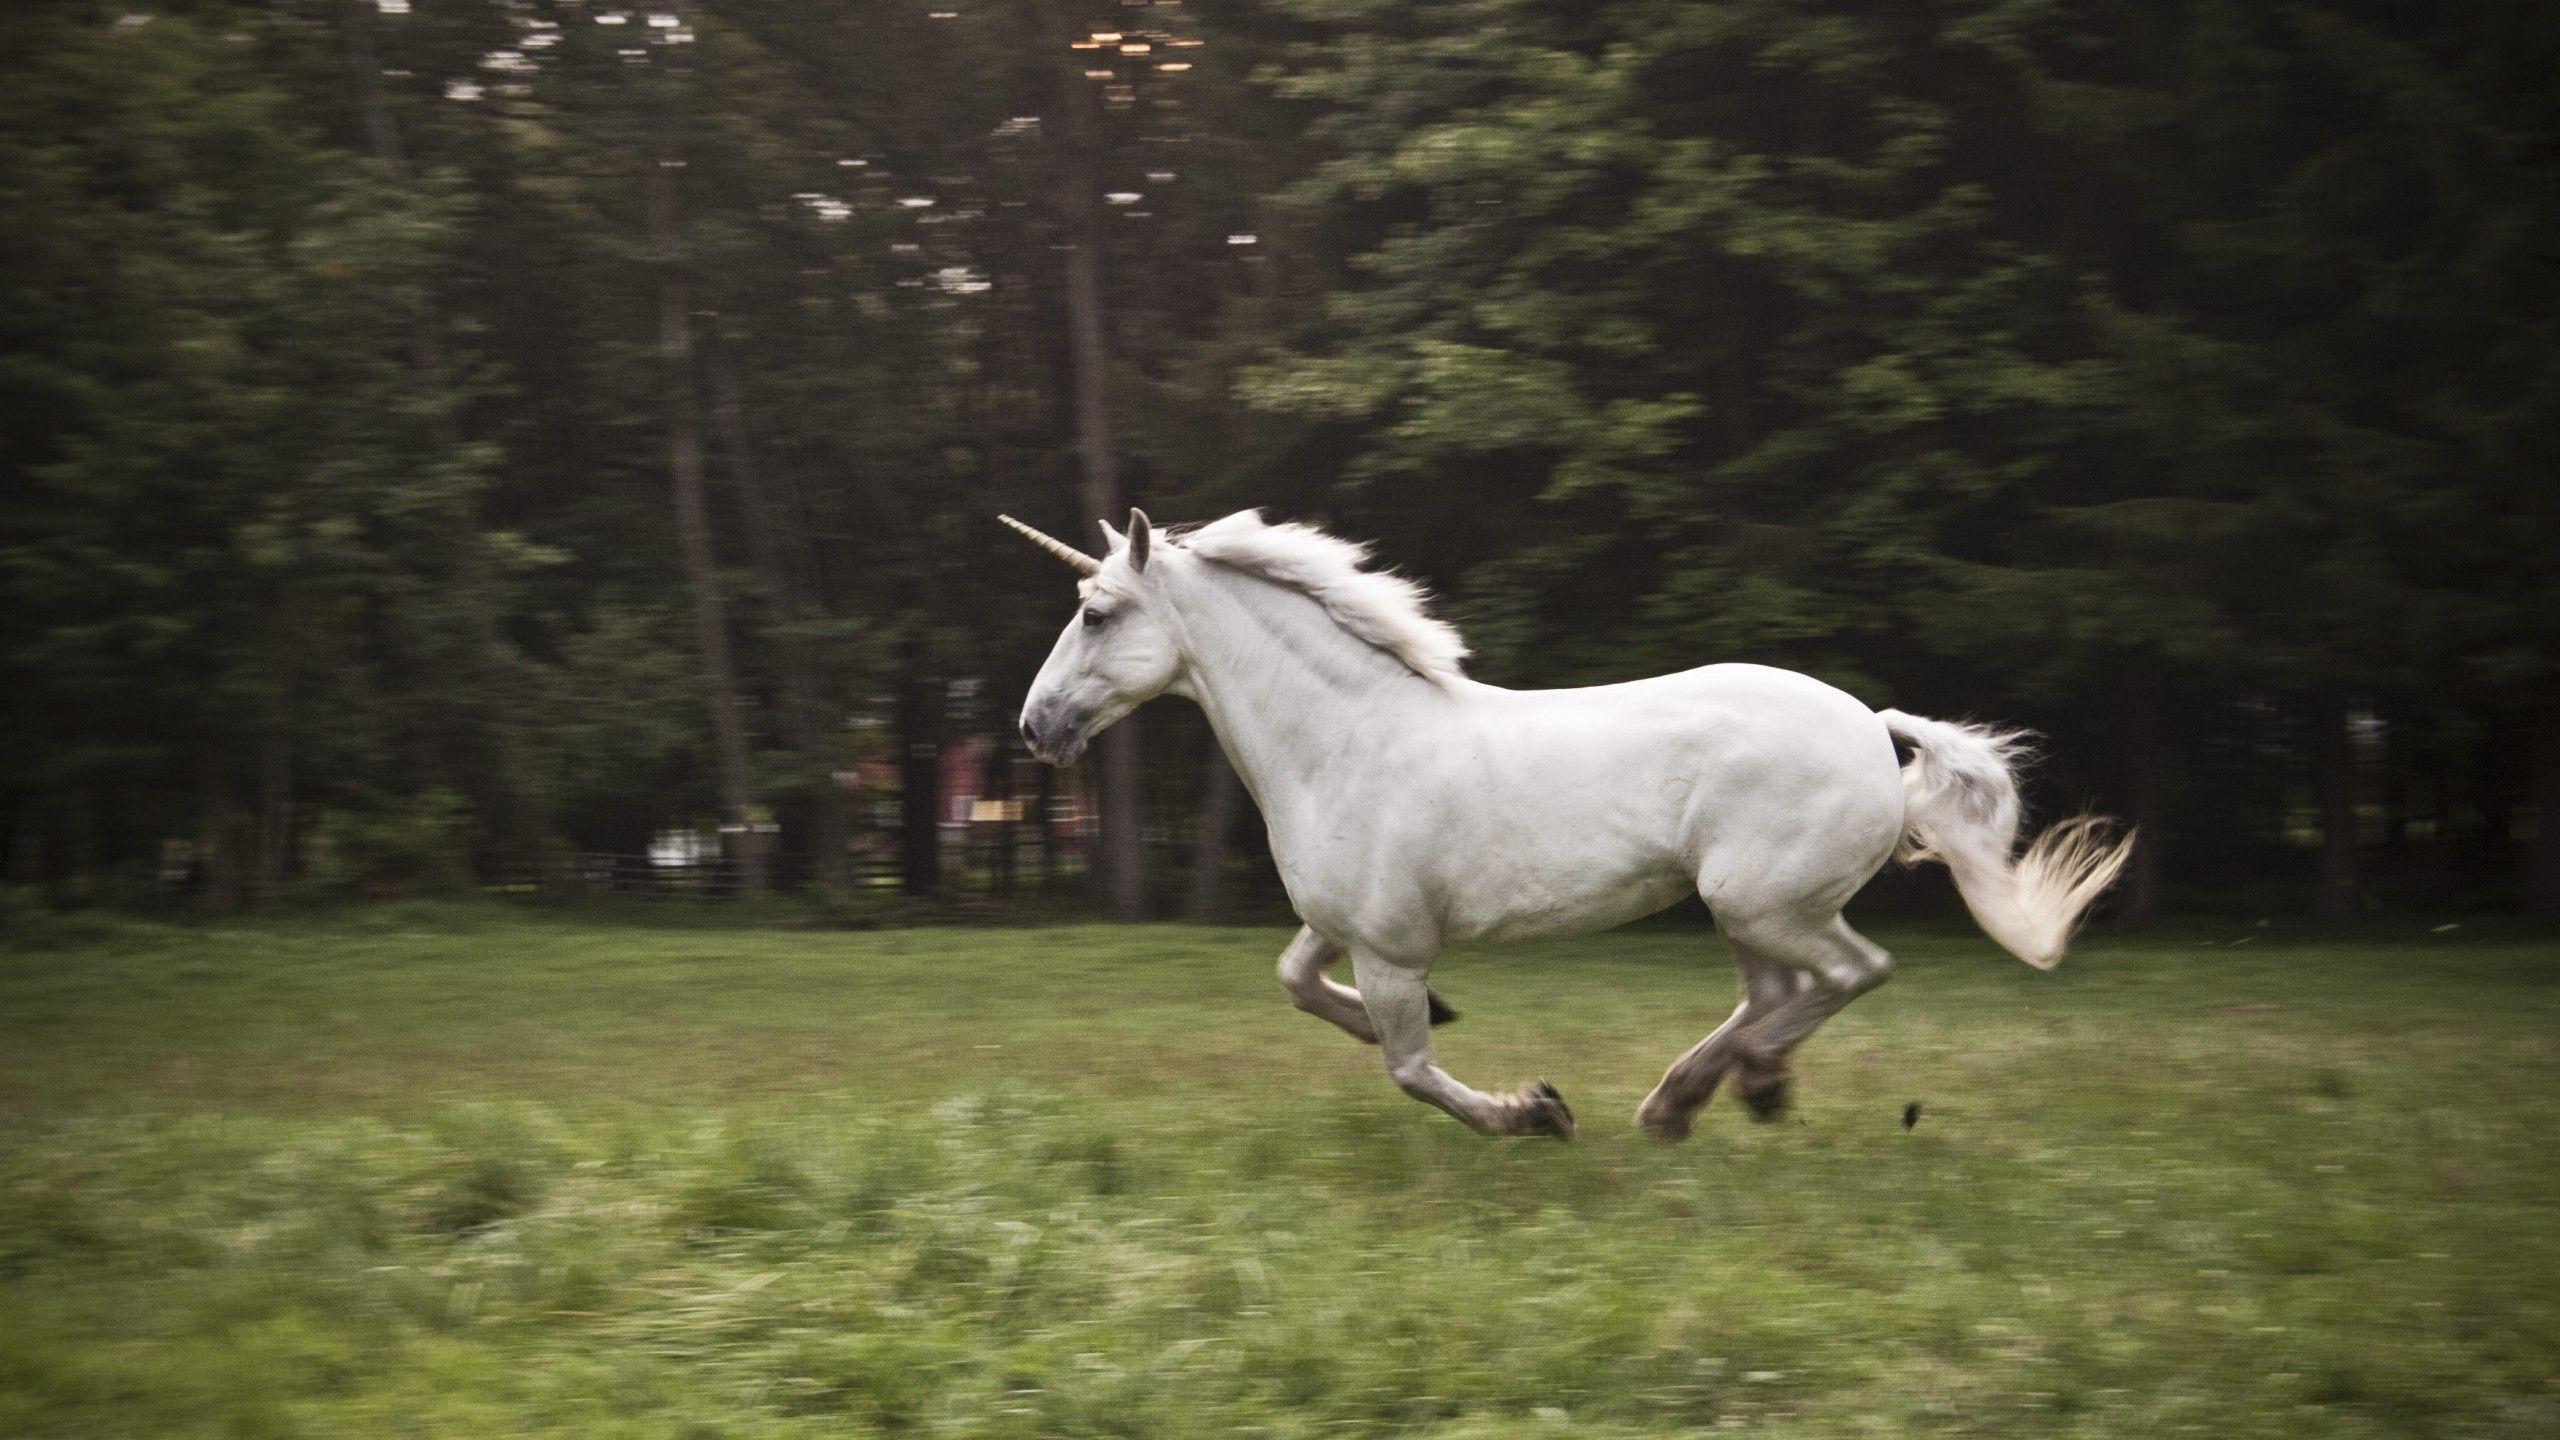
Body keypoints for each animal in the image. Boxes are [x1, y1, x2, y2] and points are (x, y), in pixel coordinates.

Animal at [1001, 508, 2132, 1140]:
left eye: (1096, 614)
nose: (1034, 727)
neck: (1347, 740)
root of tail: (1873, 726)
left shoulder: (1388, 946)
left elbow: (1409, 1069)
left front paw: (1532, 1113)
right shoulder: (1341, 927)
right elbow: (1297, 985)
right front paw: (1437, 1028)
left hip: (1768, 904)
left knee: (1850, 976)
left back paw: (1744, 1085)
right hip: (1746, 911)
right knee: (1777, 994)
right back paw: (1688, 1102)